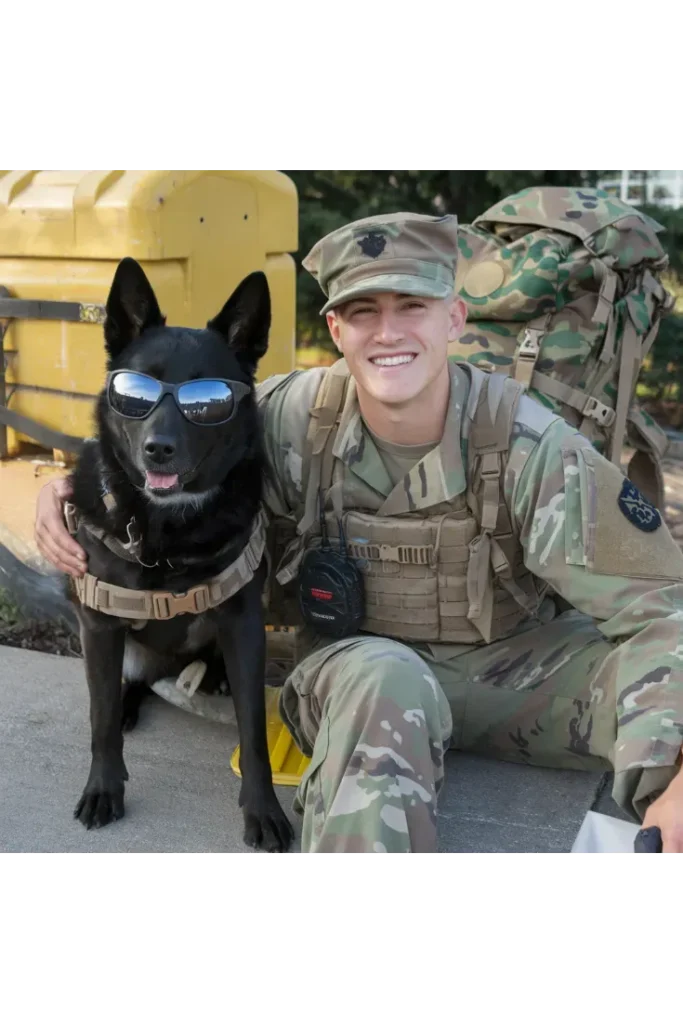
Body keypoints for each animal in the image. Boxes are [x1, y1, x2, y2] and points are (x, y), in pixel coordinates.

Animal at [65, 256, 294, 856]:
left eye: (206, 402)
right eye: (135, 391)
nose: (158, 450)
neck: (167, 530)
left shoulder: (243, 622)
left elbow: (253, 733)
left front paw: (264, 811)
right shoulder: (99, 624)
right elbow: (98, 719)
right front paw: (104, 790)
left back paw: (211, 675)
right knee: (128, 687)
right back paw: (130, 703)